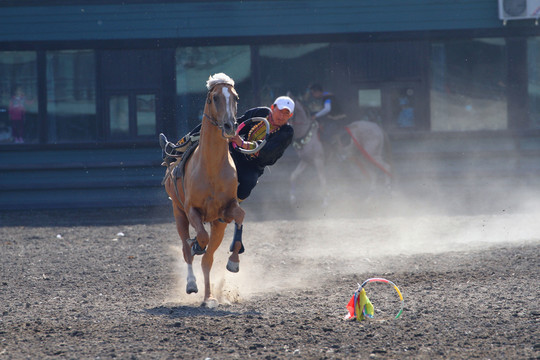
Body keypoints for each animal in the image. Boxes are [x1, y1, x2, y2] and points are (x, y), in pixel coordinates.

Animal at [161, 73, 244, 306]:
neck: (211, 167)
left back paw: (209, 296)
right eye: (214, 98)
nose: (229, 125)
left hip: (217, 224)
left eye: (235, 97)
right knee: (186, 249)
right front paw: (197, 245)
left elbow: (240, 216)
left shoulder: (225, 212)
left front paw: (233, 262)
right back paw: (191, 283)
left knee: (207, 259)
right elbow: (200, 239)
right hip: (178, 212)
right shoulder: (191, 210)